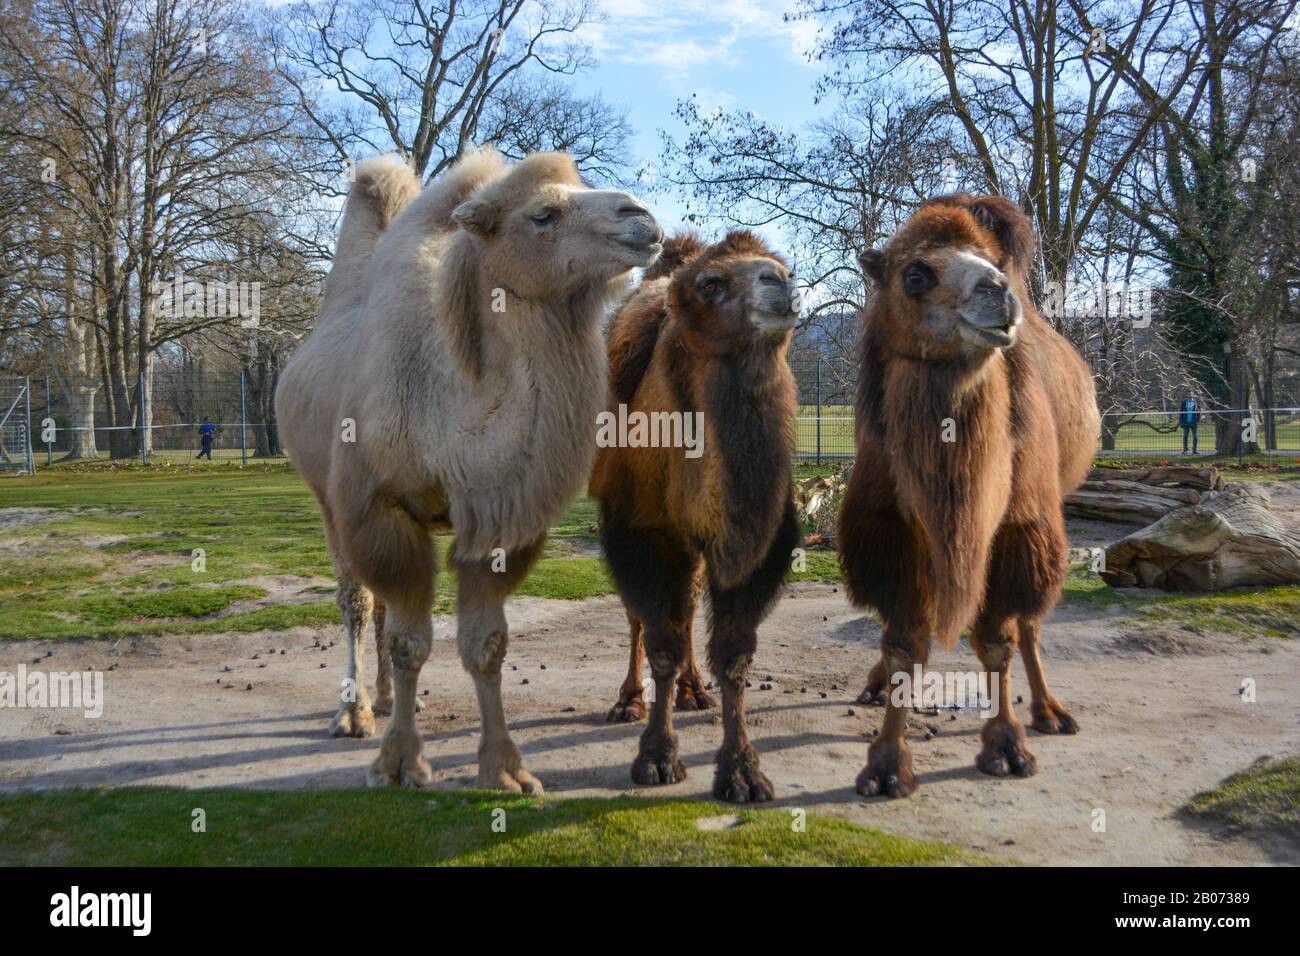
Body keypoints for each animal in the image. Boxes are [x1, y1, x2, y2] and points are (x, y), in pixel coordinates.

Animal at [276, 147, 662, 791]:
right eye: (542, 214)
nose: (643, 218)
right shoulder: (377, 506)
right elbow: (409, 641)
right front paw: (401, 764)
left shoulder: (497, 516)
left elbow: (486, 644)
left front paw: (505, 771)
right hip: (326, 500)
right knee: (356, 599)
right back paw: (354, 712)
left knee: (380, 605)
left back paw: (387, 698)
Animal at [590, 229, 802, 803]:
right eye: (712, 283)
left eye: (783, 267)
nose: (781, 282)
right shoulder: (641, 535)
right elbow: (660, 639)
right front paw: (656, 758)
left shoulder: (754, 547)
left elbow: (733, 655)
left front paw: (743, 771)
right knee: (643, 618)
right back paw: (628, 700)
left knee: (686, 607)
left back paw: (694, 692)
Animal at [838, 193, 1100, 799]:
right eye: (915, 273)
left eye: (993, 262)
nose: (998, 290)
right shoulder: (891, 530)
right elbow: (904, 642)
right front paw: (886, 765)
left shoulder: (1016, 526)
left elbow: (998, 640)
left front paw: (1006, 748)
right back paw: (874, 686)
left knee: (1029, 622)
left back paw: (1050, 712)